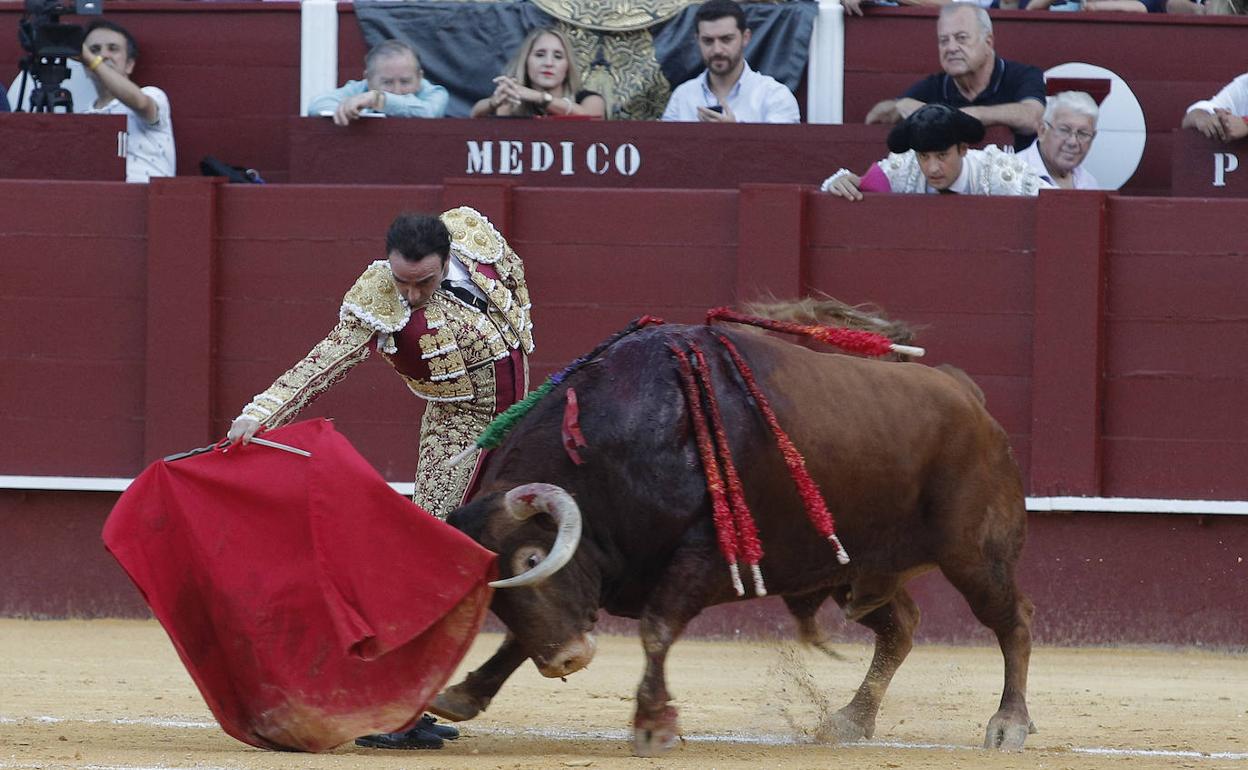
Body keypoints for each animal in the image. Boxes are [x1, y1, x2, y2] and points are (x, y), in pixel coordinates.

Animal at [429, 321, 1033, 753]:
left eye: (534, 557)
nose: (566, 661)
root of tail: (965, 394)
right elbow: (523, 637)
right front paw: (462, 695)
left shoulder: (702, 558)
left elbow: (656, 629)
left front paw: (654, 724)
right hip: (856, 569)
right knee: (900, 627)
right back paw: (849, 720)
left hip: (974, 555)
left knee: (1012, 621)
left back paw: (1008, 725)